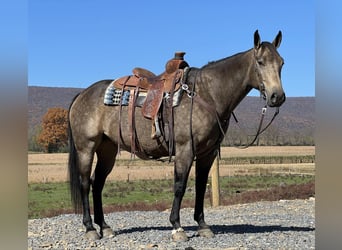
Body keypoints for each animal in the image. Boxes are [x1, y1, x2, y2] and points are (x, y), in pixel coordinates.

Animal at [67, 30, 286, 241]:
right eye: (260, 62)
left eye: (281, 63)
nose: (277, 97)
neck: (206, 94)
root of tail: (82, 94)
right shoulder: (185, 149)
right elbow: (180, 185)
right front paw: (177, 227)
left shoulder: (207, 153)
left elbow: (200, 186)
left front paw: (203, 226)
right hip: (86, 148)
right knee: (85, 183)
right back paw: (90, 228)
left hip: (108, 150)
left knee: (97, 183)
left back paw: (105, 227)